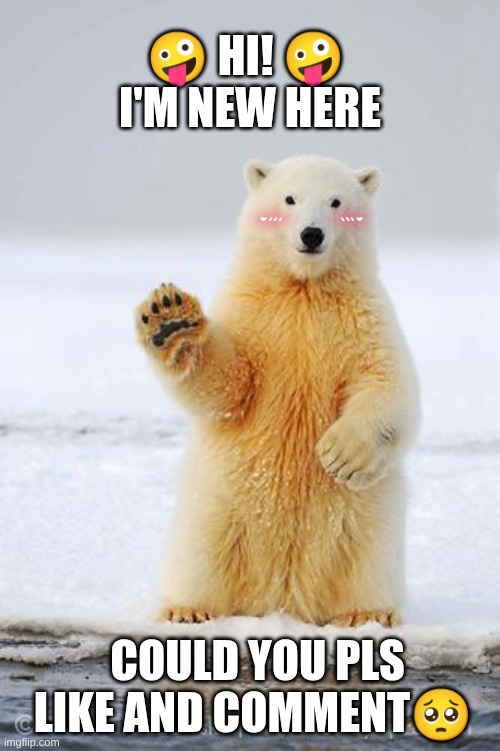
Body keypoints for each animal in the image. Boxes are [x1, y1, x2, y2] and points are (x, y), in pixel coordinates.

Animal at [135, 155, 419, 627]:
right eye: (289, 198)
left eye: (336, 202)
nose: (312, 233)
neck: (303, 289)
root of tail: (283, 596)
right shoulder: (253, 315)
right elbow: (230, 385)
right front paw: (171, 321)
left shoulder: (364, 319)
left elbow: (386, 383)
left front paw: (340, 455)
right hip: (216, 506)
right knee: (200, 553)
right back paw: (186, 609)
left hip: (368, 519)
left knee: (367, 558)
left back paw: (366, 615)